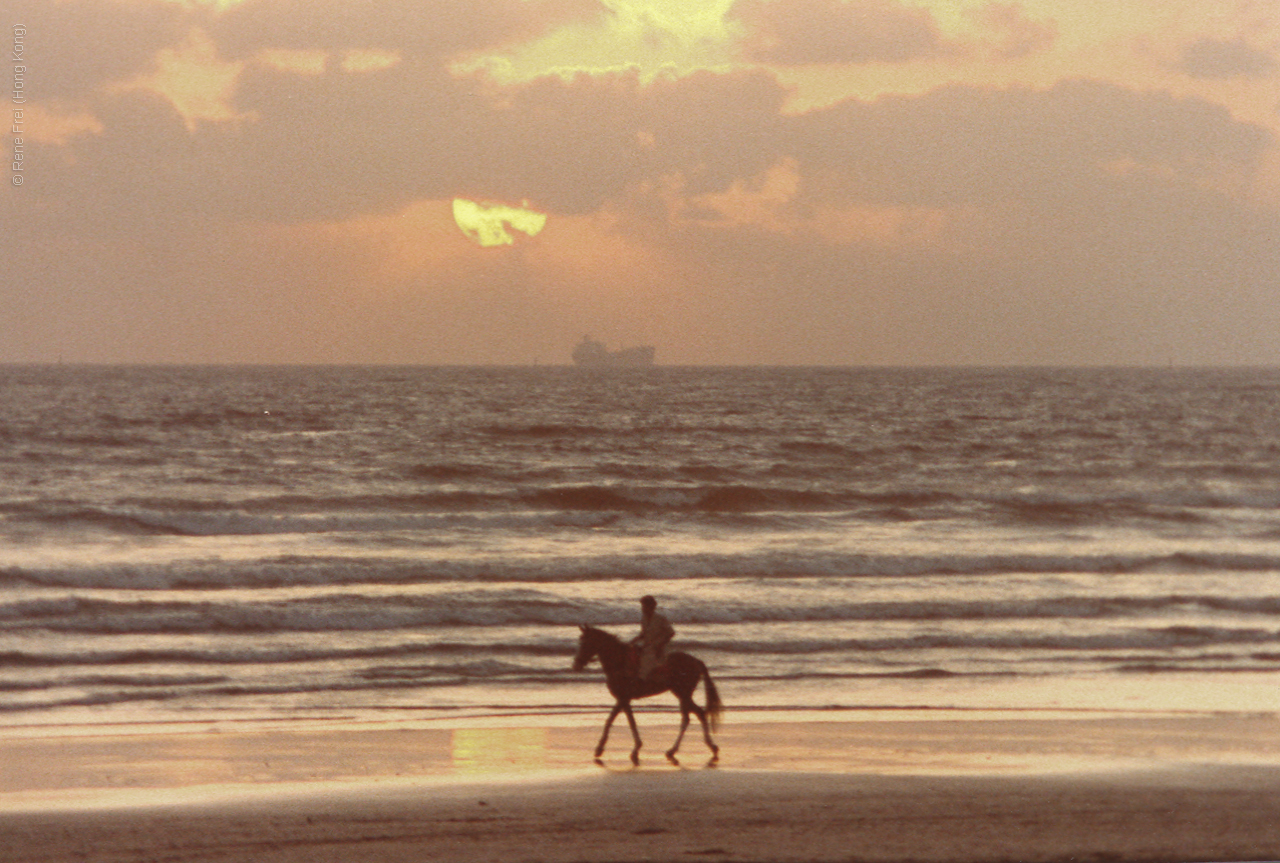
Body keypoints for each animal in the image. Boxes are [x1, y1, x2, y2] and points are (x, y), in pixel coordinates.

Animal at [570, 622, 721, 763]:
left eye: (586, 643)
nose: (576, 665)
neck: (619, 662)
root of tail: (696, 661)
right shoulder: (624, 699)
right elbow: (624, 721)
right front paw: (630, 748)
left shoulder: (623, 698)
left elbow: (617, 721)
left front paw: (604, 749)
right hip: (682, 693)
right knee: (695, 715)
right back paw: (698, 748)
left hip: (683, 693)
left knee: (692, 716)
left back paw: (681, 749)